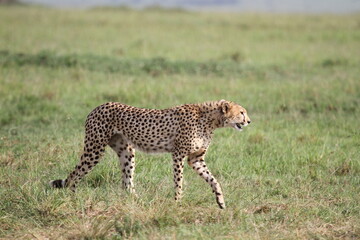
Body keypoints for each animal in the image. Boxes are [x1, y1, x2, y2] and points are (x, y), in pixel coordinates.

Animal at [50, 99, 250, 208]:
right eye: (241, 112)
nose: (249, 121)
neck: (210, 120)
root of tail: (97, 107)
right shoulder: (178, 155)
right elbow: (179, 182)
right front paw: (177, 203)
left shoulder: (196, 159)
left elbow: (213, 179)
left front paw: (221, 201)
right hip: (94, 149)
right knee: (74, 175)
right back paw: (73, 199)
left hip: (127, 152)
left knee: (126, 183)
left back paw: (141, 203)